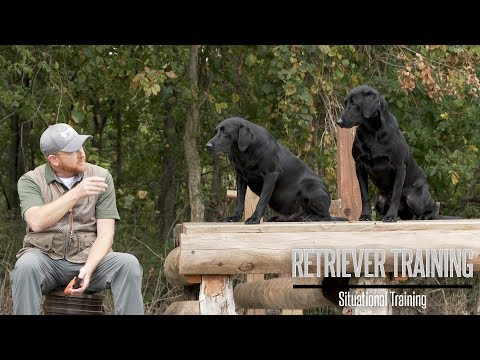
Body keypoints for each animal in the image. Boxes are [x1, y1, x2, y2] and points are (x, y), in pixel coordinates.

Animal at [205, 116, 342, 224]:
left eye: (225, 132)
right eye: (216, 131)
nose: (208, 146)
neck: (245, 153)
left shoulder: (271, 175)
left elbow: (262, 200)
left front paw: (254, 219)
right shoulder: (240, 177)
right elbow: (239, 200)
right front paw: (234, 217)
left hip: (310, 187)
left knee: (326, 217)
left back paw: (310, 218)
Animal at [338, 86, 450, 222]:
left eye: (354, 104)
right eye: (345, 104)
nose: (338, 121)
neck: (371, 133)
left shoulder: (399, 166)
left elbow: (396, 195)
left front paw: (391, 216)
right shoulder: (359, 166)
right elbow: (364, 195)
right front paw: (365, 215)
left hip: (414, 196)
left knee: (433, 208)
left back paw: (423, 216)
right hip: (379, 200)